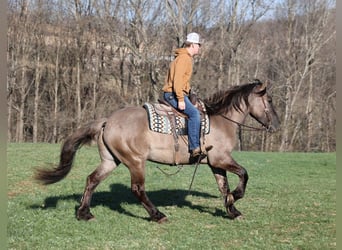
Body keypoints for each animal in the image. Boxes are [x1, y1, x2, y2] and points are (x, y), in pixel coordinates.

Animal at [34, 78, 280, 223]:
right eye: (268, 99)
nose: (277, 125)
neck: (221, 120)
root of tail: (107, 121)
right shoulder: (221, 159)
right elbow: (243, 174)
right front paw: (235, 198)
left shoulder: (214, 162)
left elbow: (223, 186)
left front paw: (231, 208)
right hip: (135, 162)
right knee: (137, 189)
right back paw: (157, 215)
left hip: (110, 161)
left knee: (92, 180)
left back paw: (84, 213)